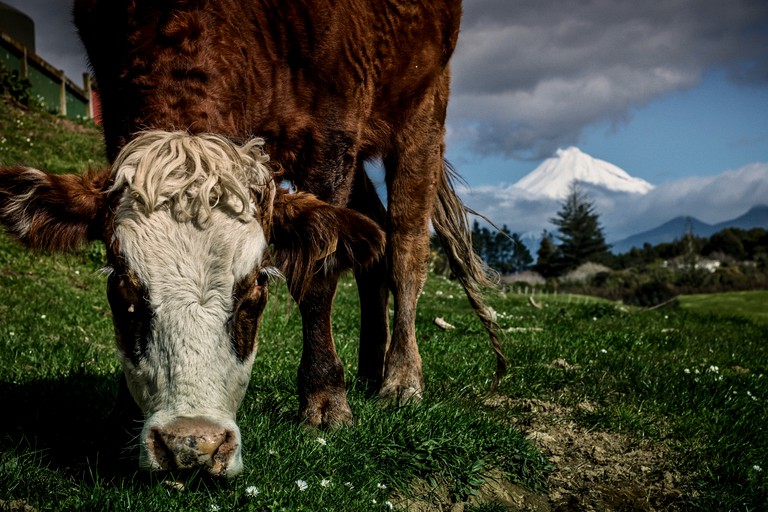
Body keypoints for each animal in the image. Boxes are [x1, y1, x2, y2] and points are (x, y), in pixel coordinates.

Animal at [0, 0, 504, 476]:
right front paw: (125, 414)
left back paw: (400, 378)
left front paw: (325, 400)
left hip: (423, 106)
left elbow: (318, 279)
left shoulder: (333, 133)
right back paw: (368, 366)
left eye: (256, 288)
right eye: (121, 287)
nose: (192, 444)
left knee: (404, 246)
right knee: (371, 238)